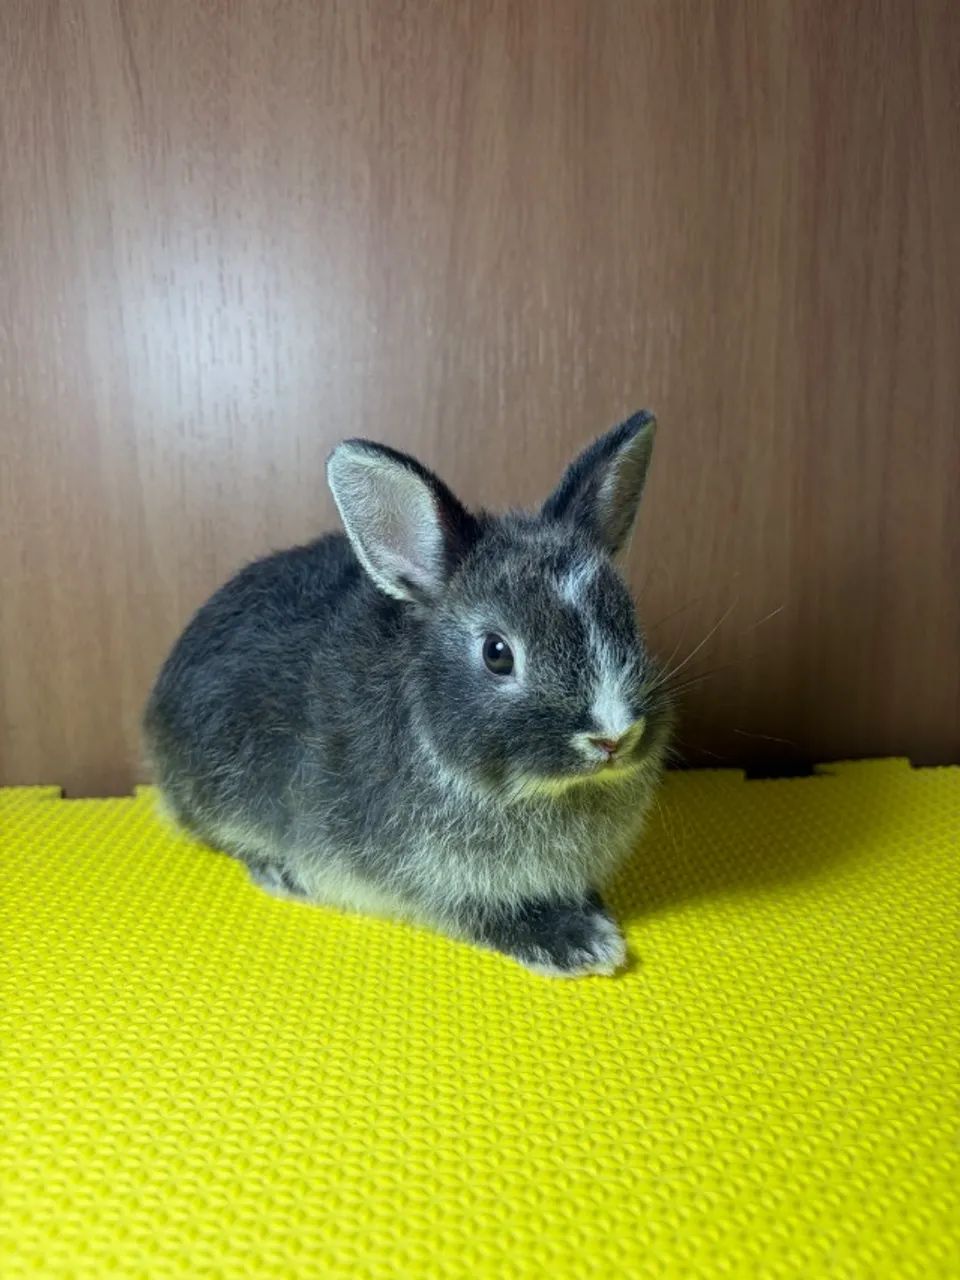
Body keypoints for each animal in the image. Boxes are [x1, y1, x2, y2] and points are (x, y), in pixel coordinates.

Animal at [143, 410, 674, 977]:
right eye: (497, 653)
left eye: (627, 621)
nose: (614, 738)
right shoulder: (432, 882)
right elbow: (481, 911)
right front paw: (580, 943)